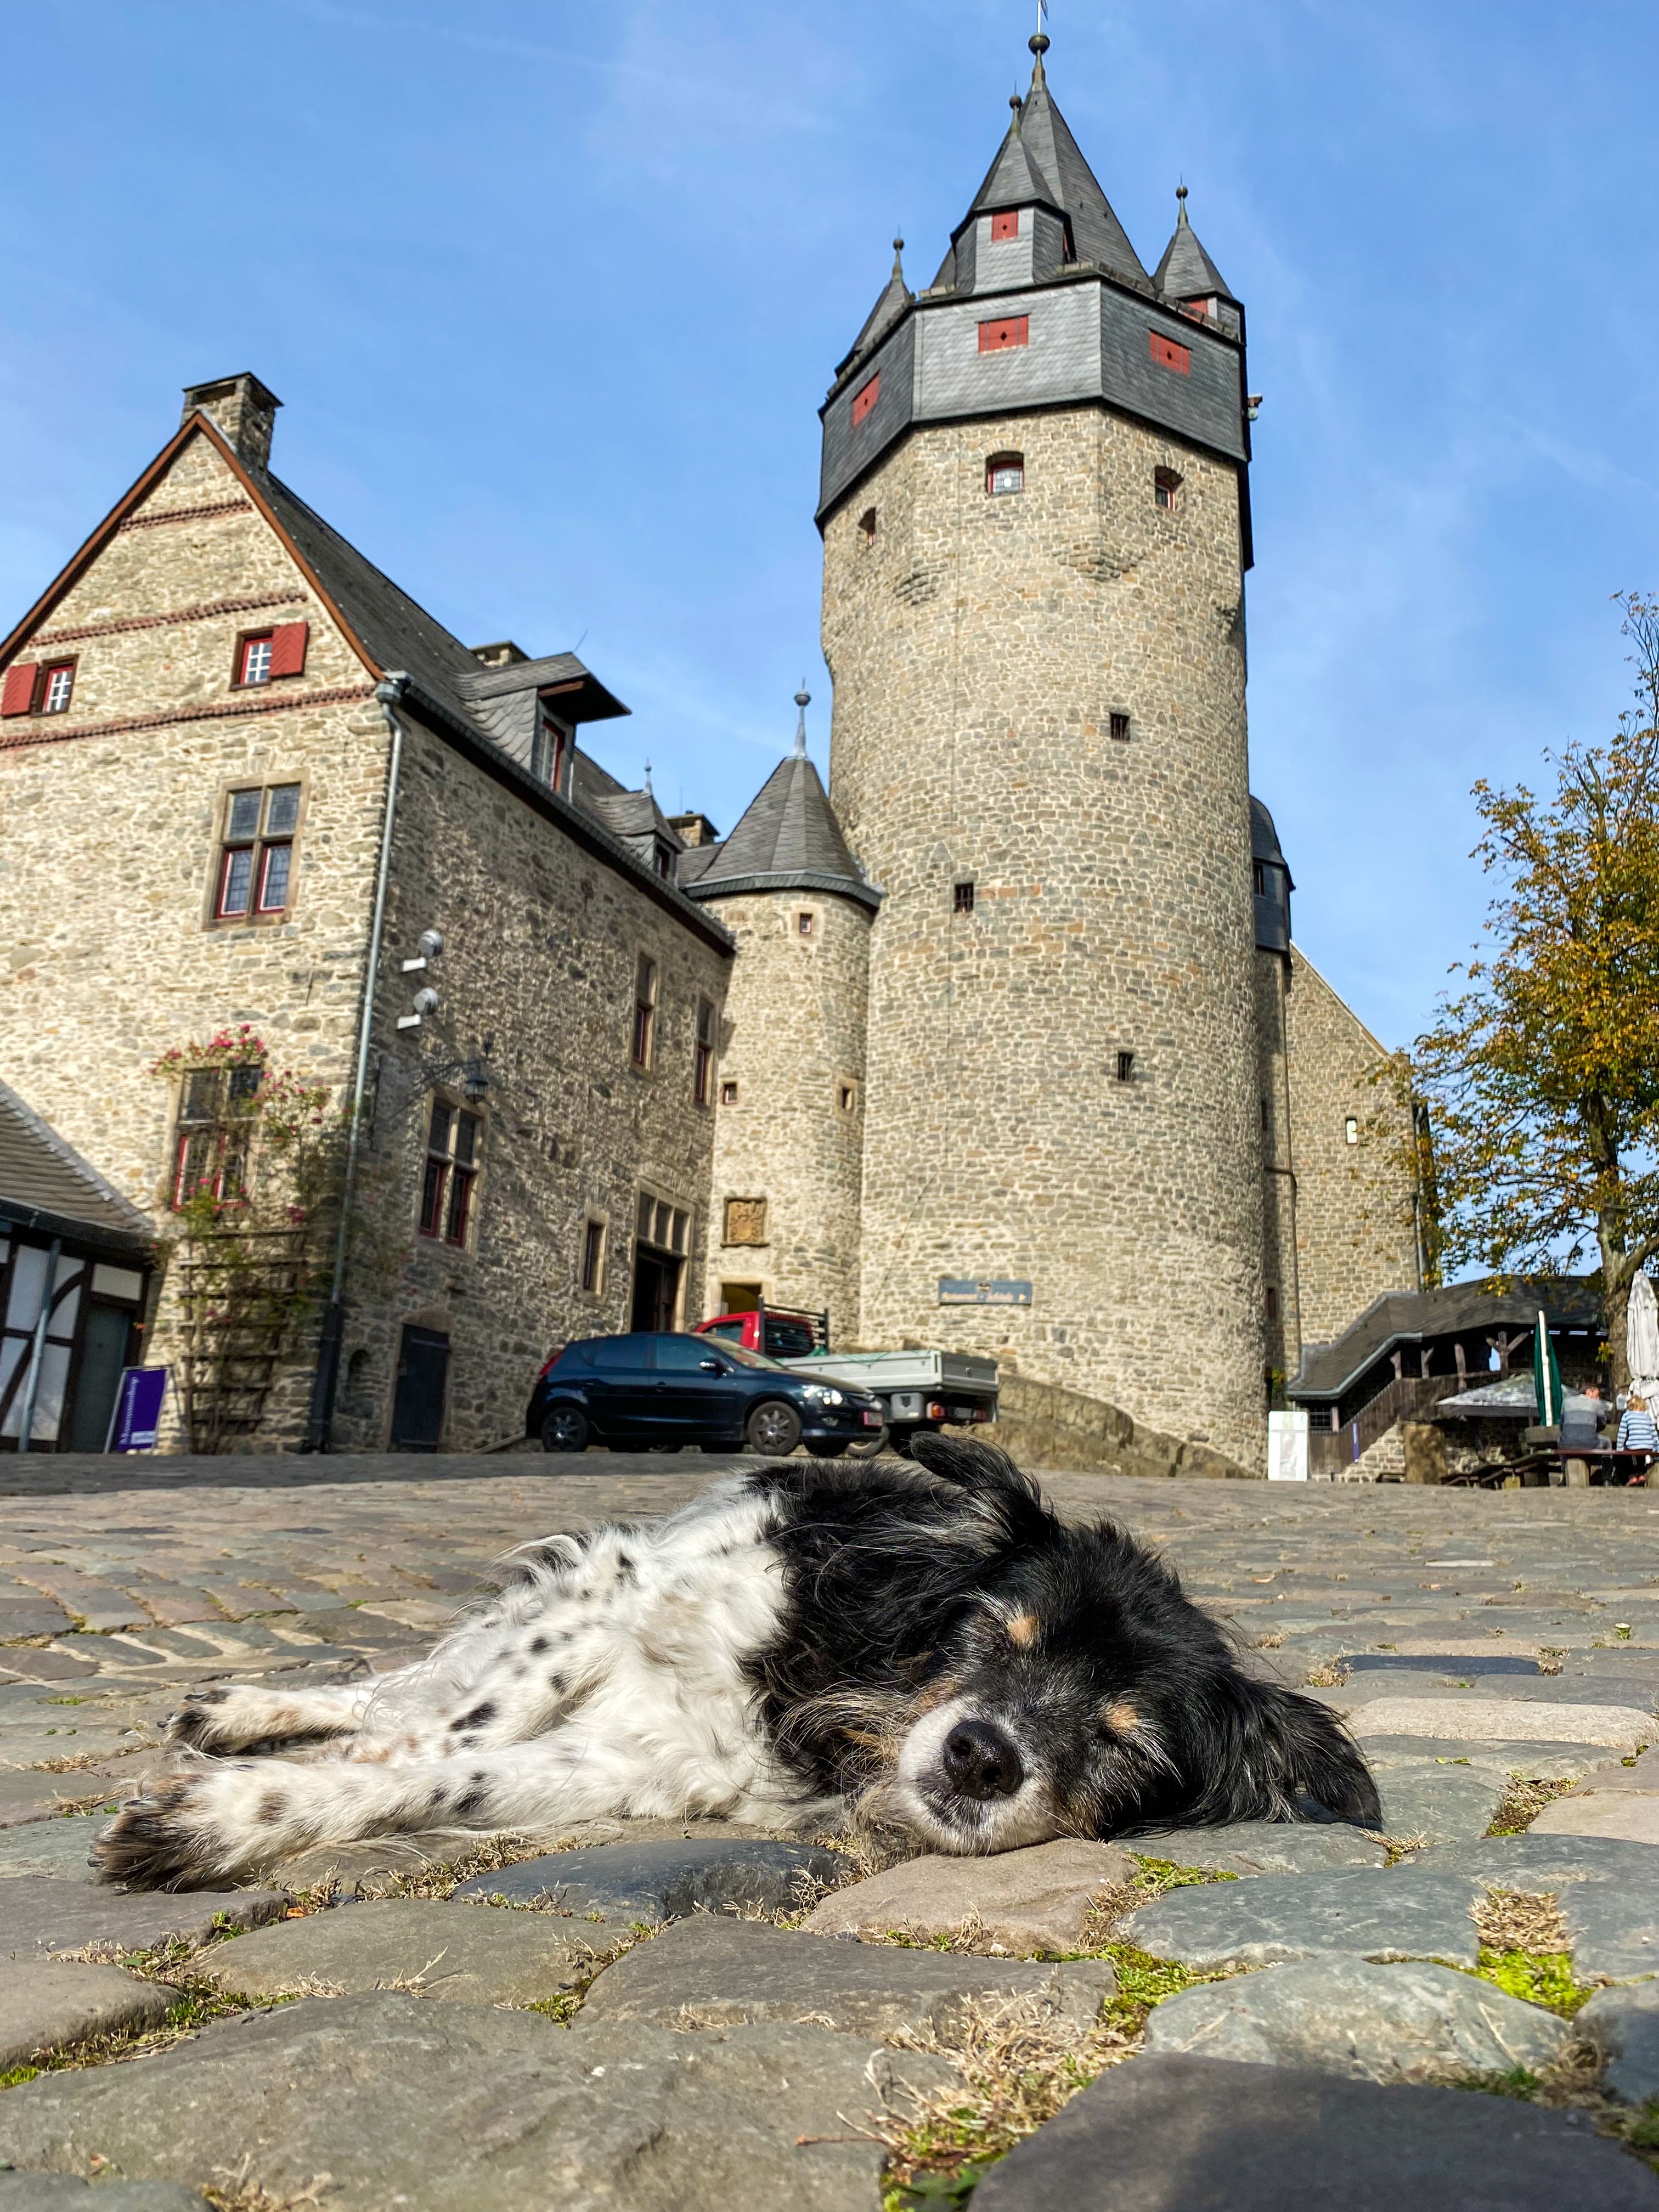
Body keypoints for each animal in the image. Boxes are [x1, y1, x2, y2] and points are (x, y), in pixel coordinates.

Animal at [97, 1442, 1380, 1893]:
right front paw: (247, 1797)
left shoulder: (629, 1770)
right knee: (412, 1687)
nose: (980, 1756)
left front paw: (241, 1814)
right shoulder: (614, 1595)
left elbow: (441, 1775)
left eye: (1124, 1745)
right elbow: (446, 1734)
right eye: (993, 1637)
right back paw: (251, 1707)